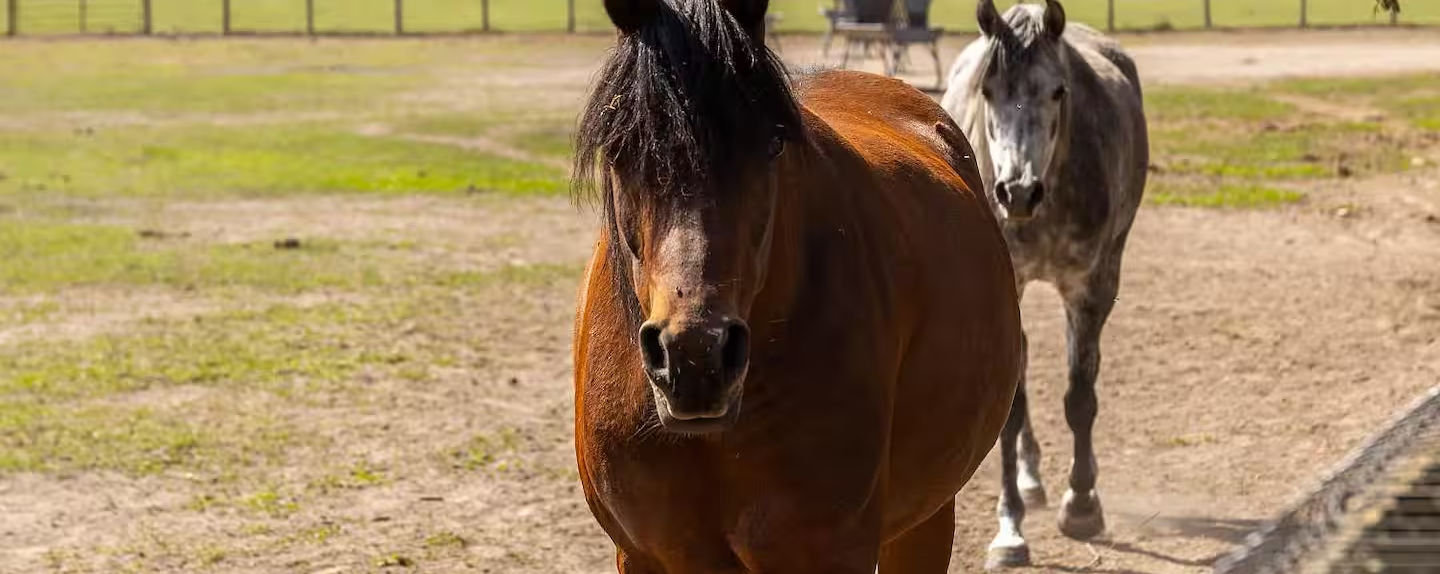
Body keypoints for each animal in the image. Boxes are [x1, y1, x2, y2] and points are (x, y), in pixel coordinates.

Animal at [939, 0, 1148, 568]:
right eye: (988, 91)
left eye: (1058, 91)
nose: (1017, 192)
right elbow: (1011, 411)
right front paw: (1010, 529)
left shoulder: (1090, 288)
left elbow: (1080, 397)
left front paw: (1082, 504)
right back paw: (1029, 480)